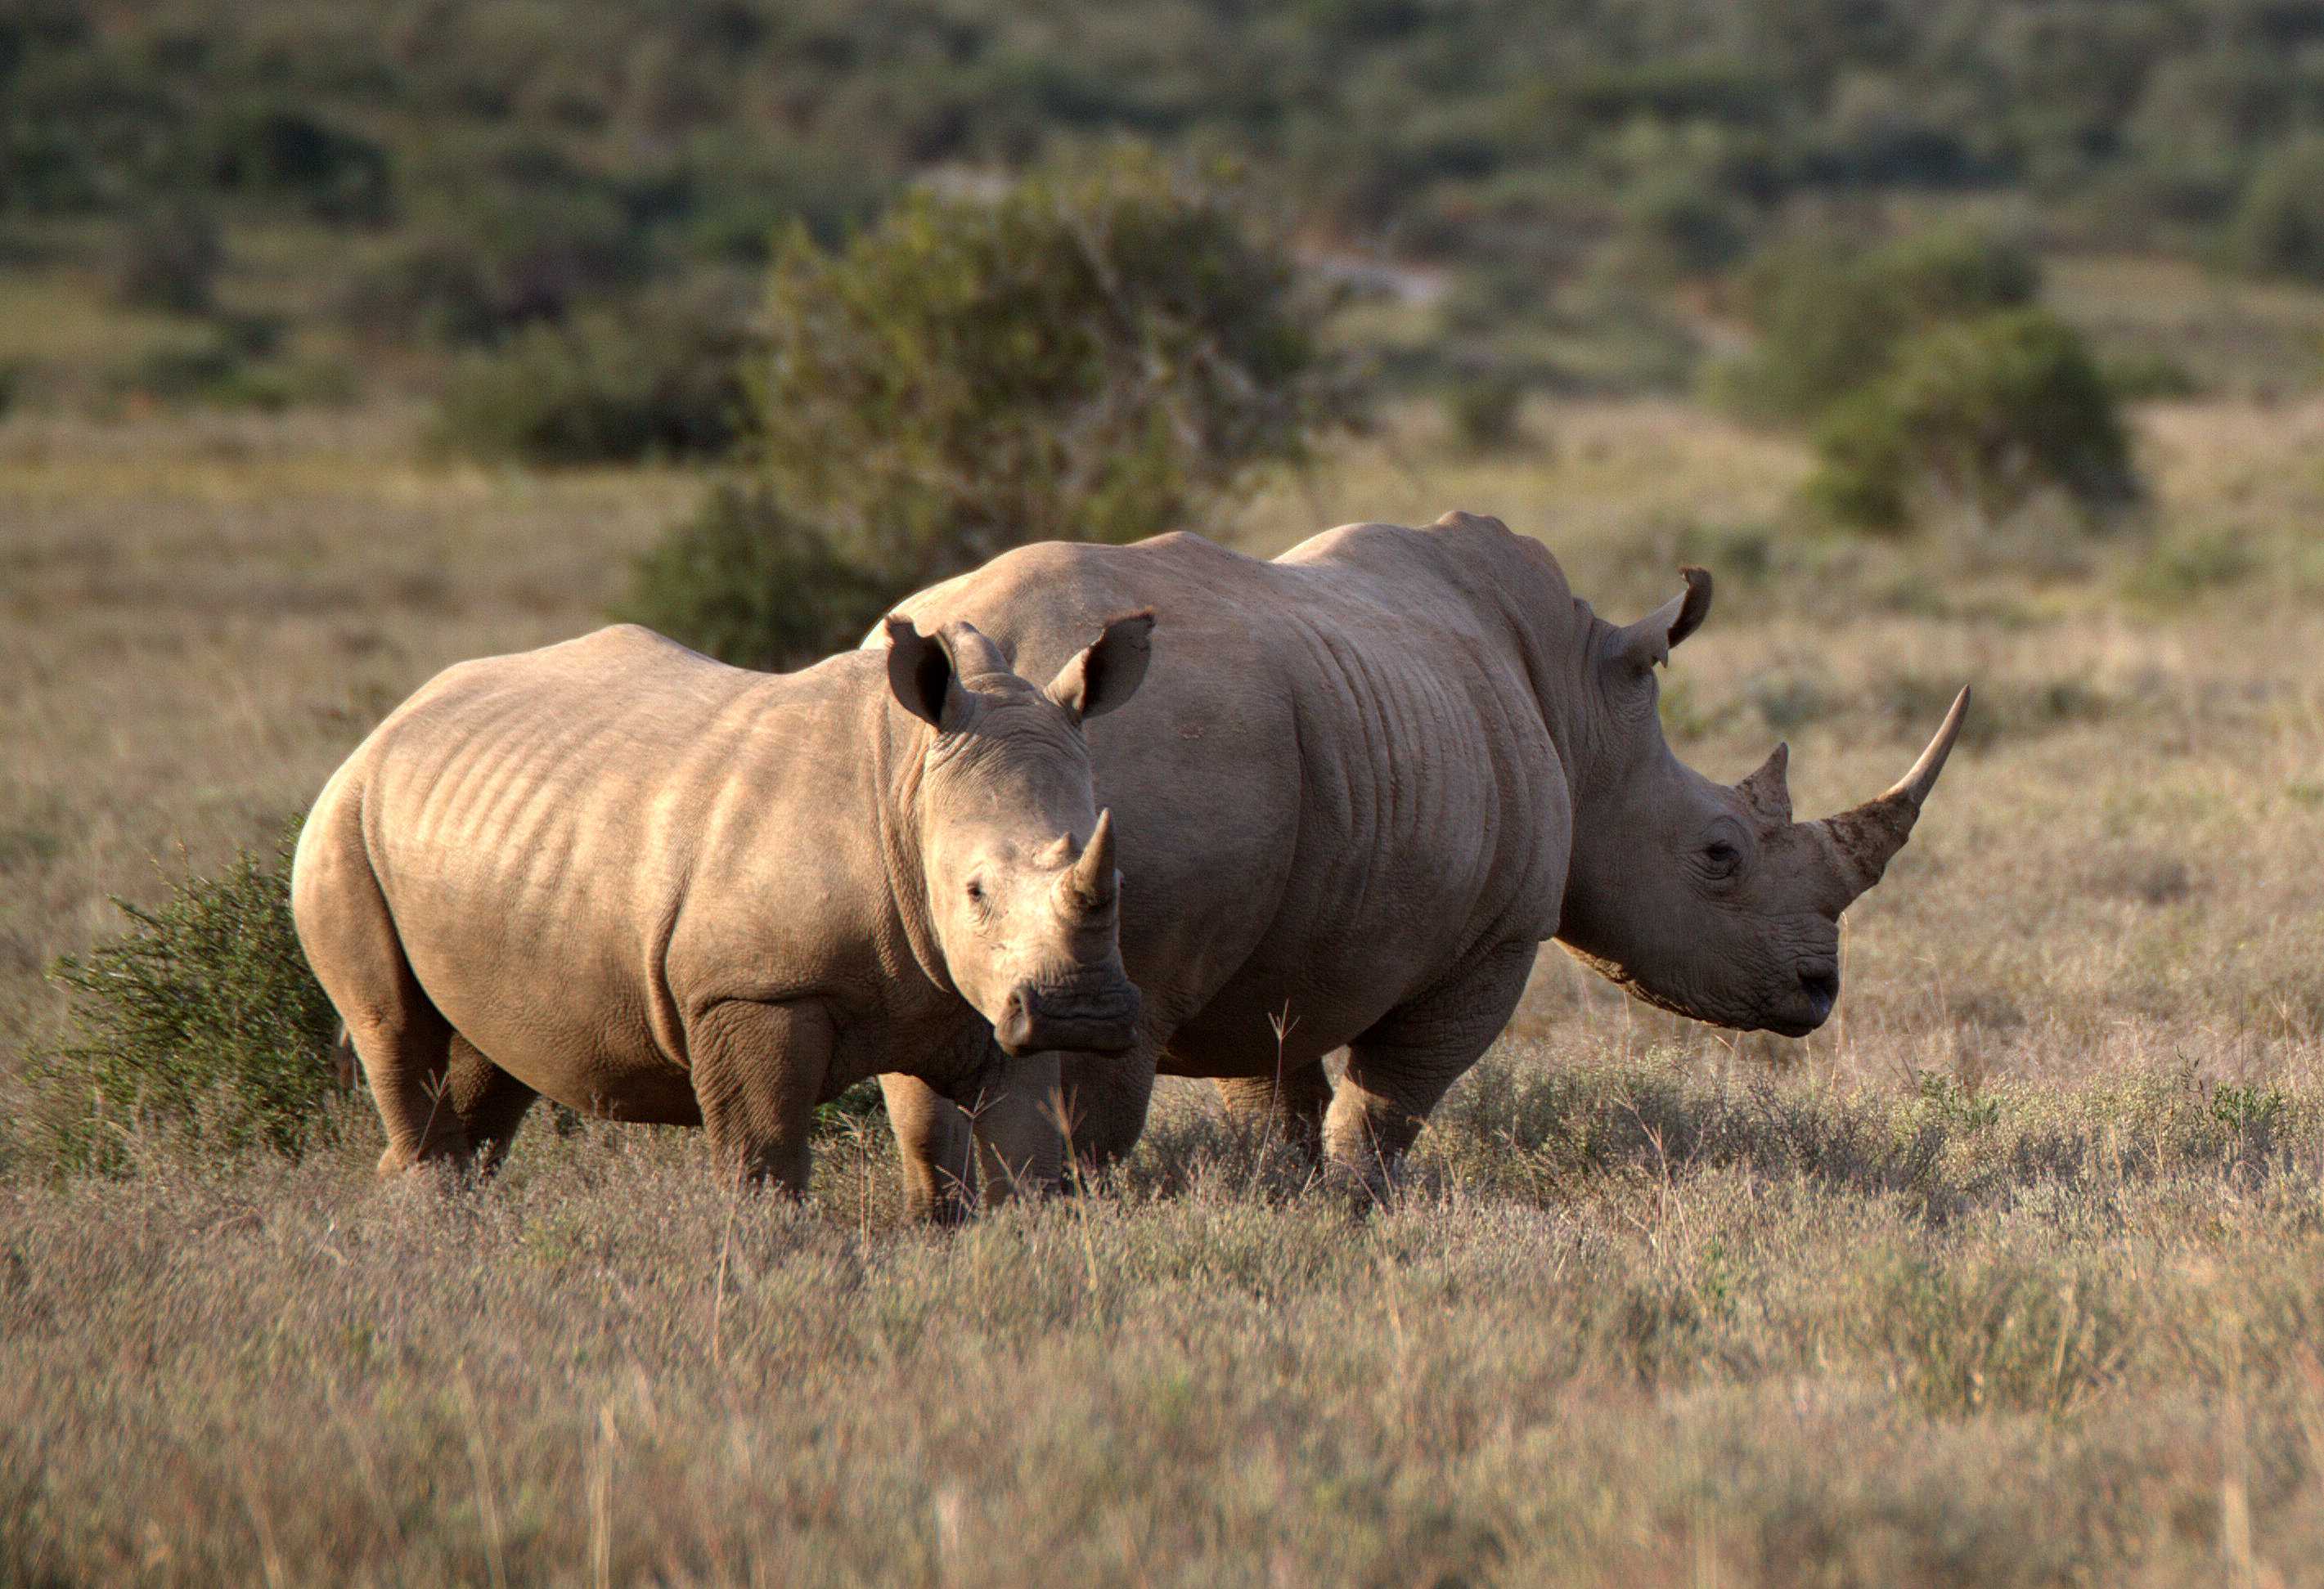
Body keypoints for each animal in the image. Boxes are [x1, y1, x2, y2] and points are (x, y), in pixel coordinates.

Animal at [292, 613, 1154, 1194]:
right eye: (974, 891)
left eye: (1117, 883)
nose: (1082, 1013)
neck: (910, 782)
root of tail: (386, 726)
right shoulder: (751, 988)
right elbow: (762, 1158)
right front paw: (772, 1266)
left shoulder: (988, 994)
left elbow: (1021, 1159)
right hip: (341, 827)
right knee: (397, 1036)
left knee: (483, 1071)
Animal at [872, 512, 1967, 1211]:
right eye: (1719, 853)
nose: (1819, 989)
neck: (1587, 712)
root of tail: (1006, 661)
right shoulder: (1495, 941)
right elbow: (1389, 1104)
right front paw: (1363, 1209)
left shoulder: (1278, 944)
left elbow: (1276, 1098)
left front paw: (1288, 1201)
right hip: (1153, 760)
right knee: (1100, 1063)